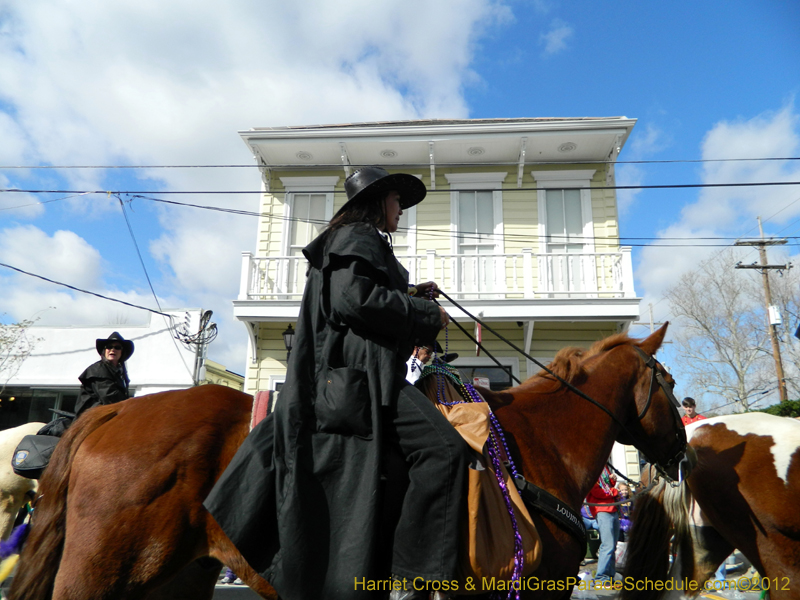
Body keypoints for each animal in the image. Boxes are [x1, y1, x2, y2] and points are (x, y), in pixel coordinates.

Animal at [7, 324, 680, 600]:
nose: (679, 455)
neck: (535, 443)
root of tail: (114, 414)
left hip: (180, 575)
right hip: (101, 571)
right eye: (670, 384)